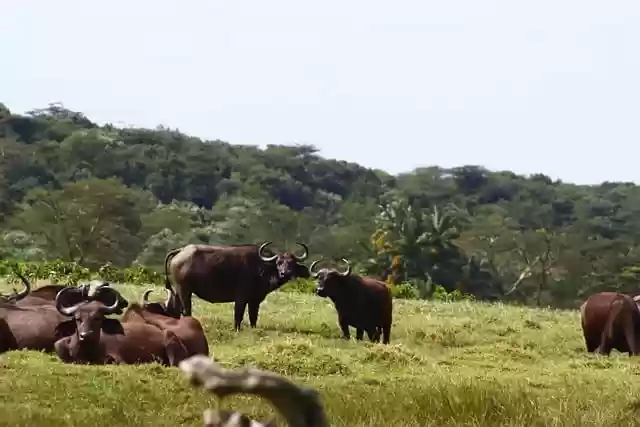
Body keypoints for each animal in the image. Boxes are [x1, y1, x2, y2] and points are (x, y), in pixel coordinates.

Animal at [164, 241, 310, 330]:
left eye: (292, 263)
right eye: (279, 262)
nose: (285, 273)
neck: (261, 268)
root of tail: (181, 250)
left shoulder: (254, 300)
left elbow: (253, 316)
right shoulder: (241, 298)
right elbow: (238, 315)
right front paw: (236, 329)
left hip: (178, 291)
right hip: (184, 290)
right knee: (186, 310)